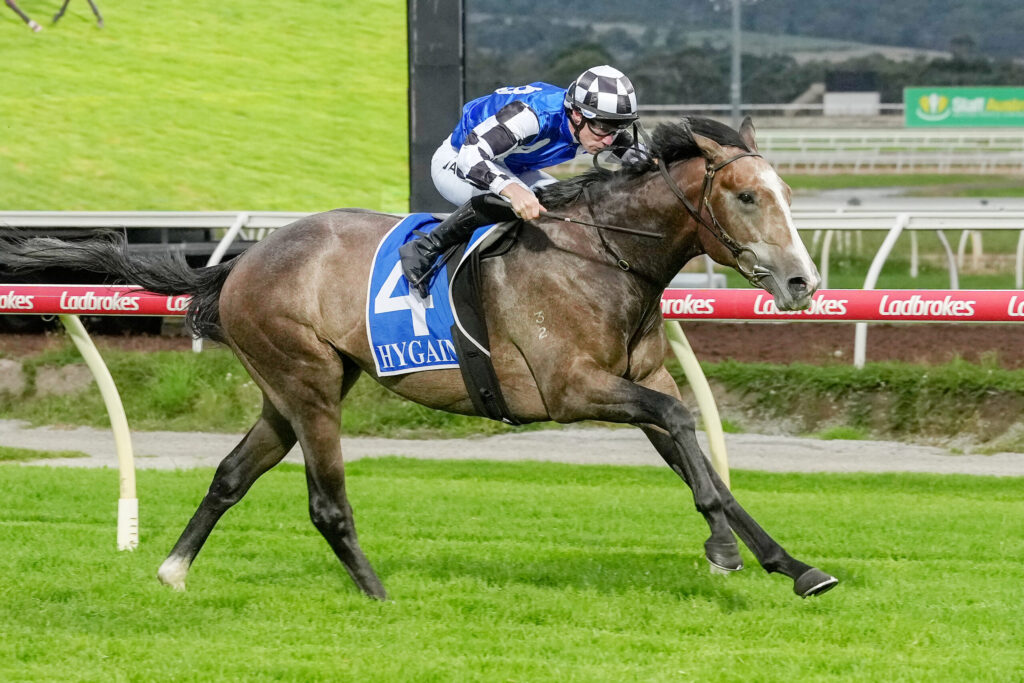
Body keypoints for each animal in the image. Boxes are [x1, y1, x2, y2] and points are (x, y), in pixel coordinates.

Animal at [0, 116, 837, 600]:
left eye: (788, 194)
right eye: (747, 197)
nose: (803, 281)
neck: (602, 255)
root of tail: (240, 261)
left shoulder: (639, 376)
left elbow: (700, 456)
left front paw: (793, 565)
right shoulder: (568, 386)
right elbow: (684, 432)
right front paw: (723, 550)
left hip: (288, 390)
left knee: (233, 473)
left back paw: (174, 568)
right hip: (309, 384)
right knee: (326, 502)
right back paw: (377, 595)